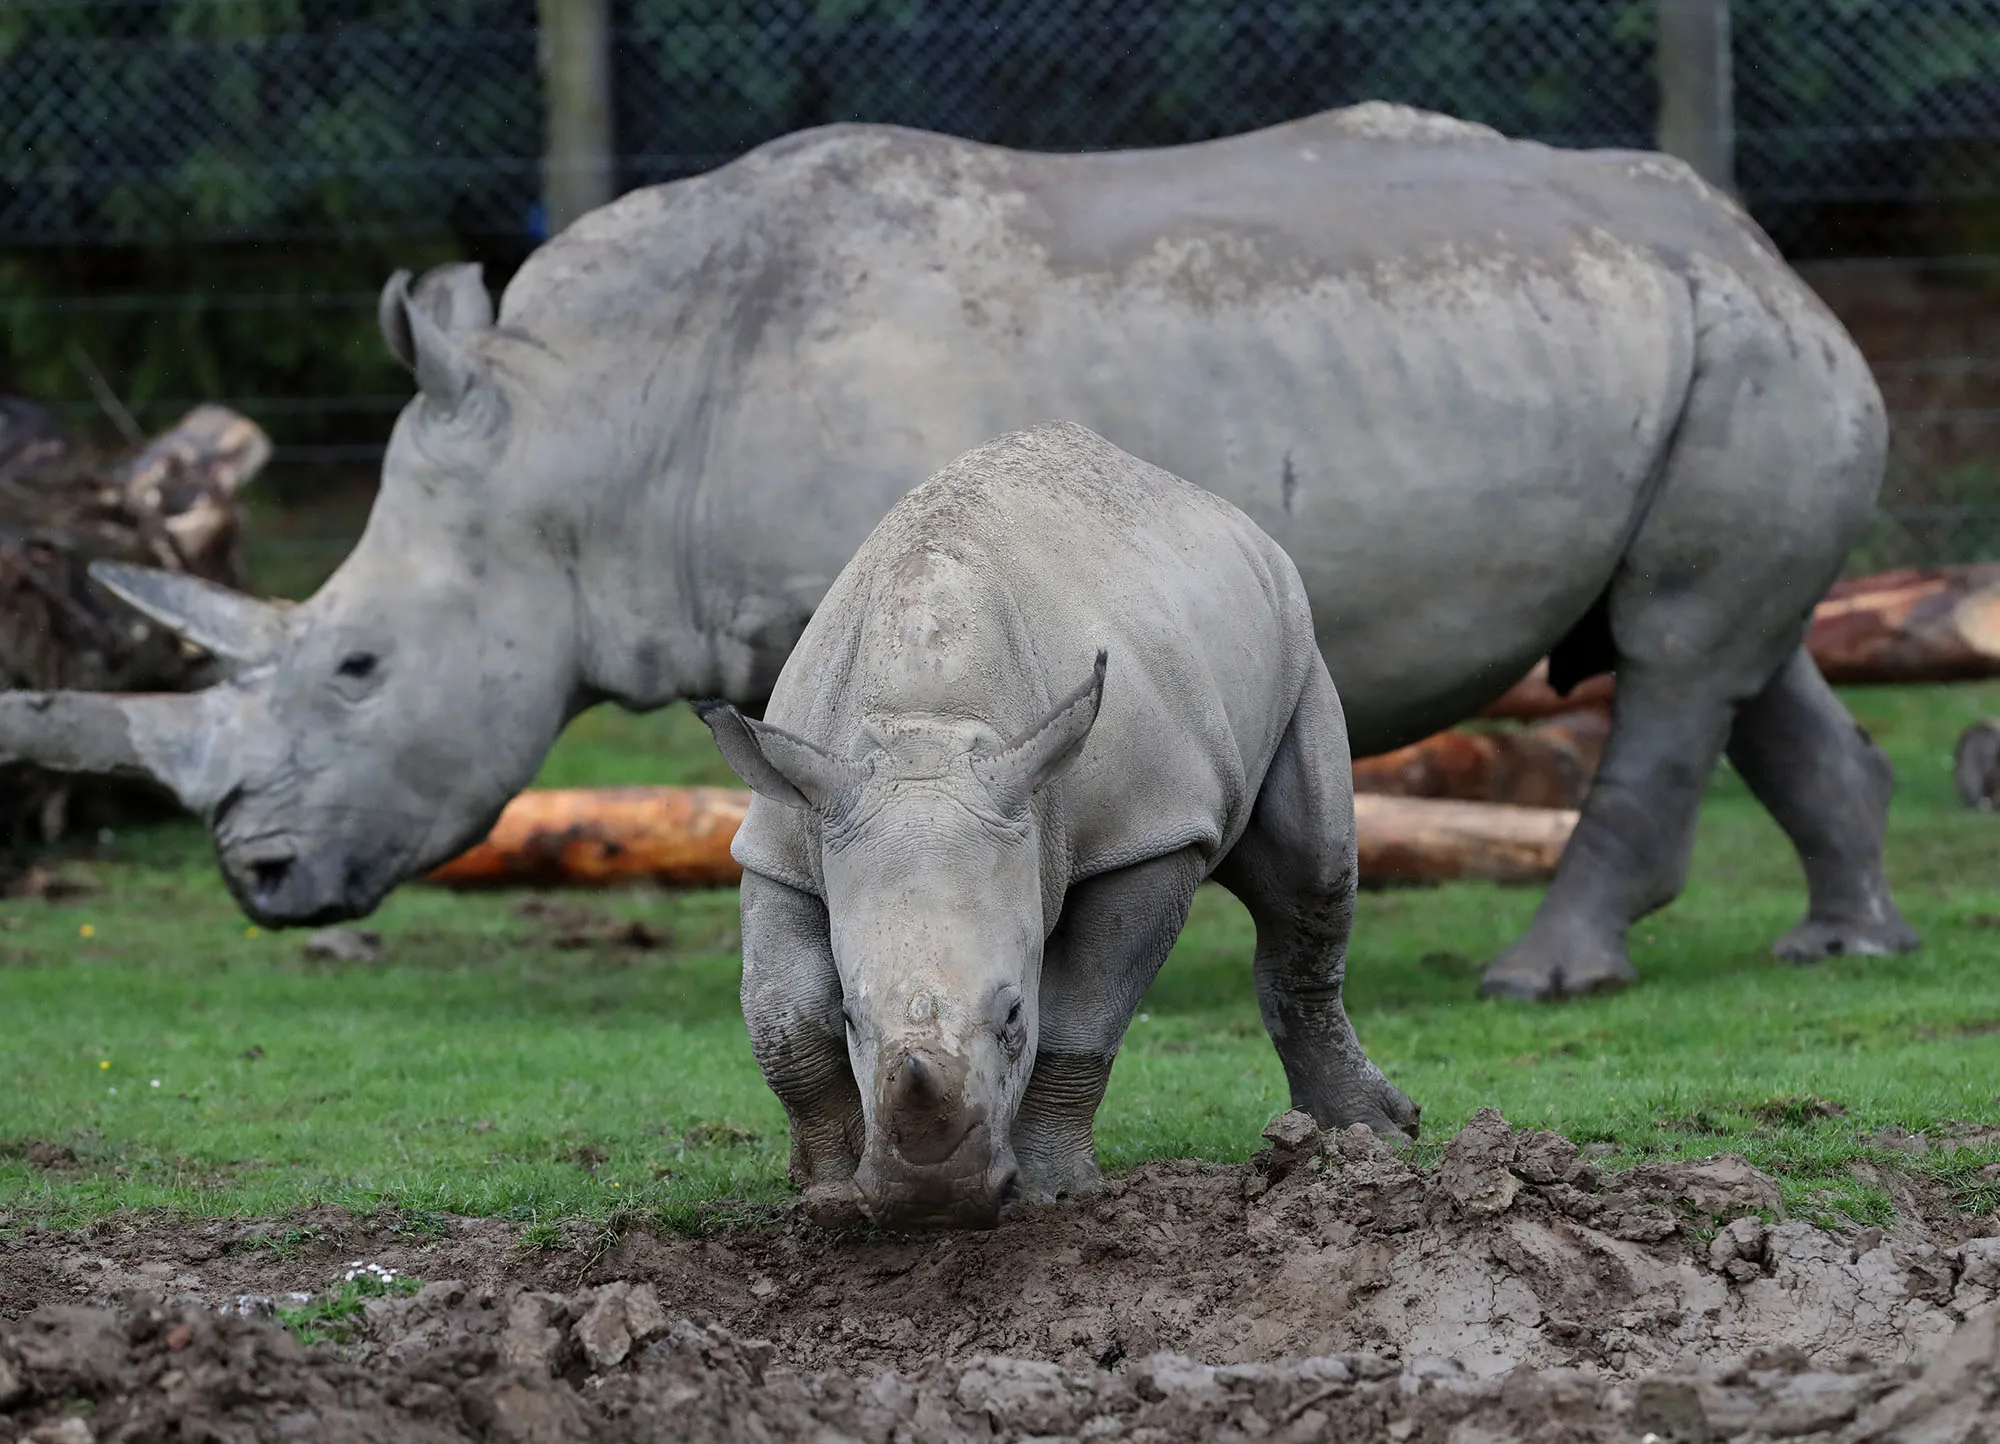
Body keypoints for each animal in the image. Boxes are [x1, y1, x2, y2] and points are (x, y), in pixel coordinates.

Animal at [0, 102, 1913, 1000]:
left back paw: (1544, 973)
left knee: (1676, 656)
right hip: (1690, 341)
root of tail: (1756, 239)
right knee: (1732, 650)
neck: (593, 429)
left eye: (358, 665)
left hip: (1735, 344)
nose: (256, 879)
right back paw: (1845, 947)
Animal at [696, 421, 1416, 1226]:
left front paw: (1052, 1191)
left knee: (1310, 872)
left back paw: (1371, 1137)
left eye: (1014, 1017)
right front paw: (826, 1192)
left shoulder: (1147, 837)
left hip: (1293, 629)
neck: (929, 731)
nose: (933, 1201)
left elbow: (1082, 1019)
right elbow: (783, 1020)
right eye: (852, 1018)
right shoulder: (794, 830)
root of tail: (1219, 508)